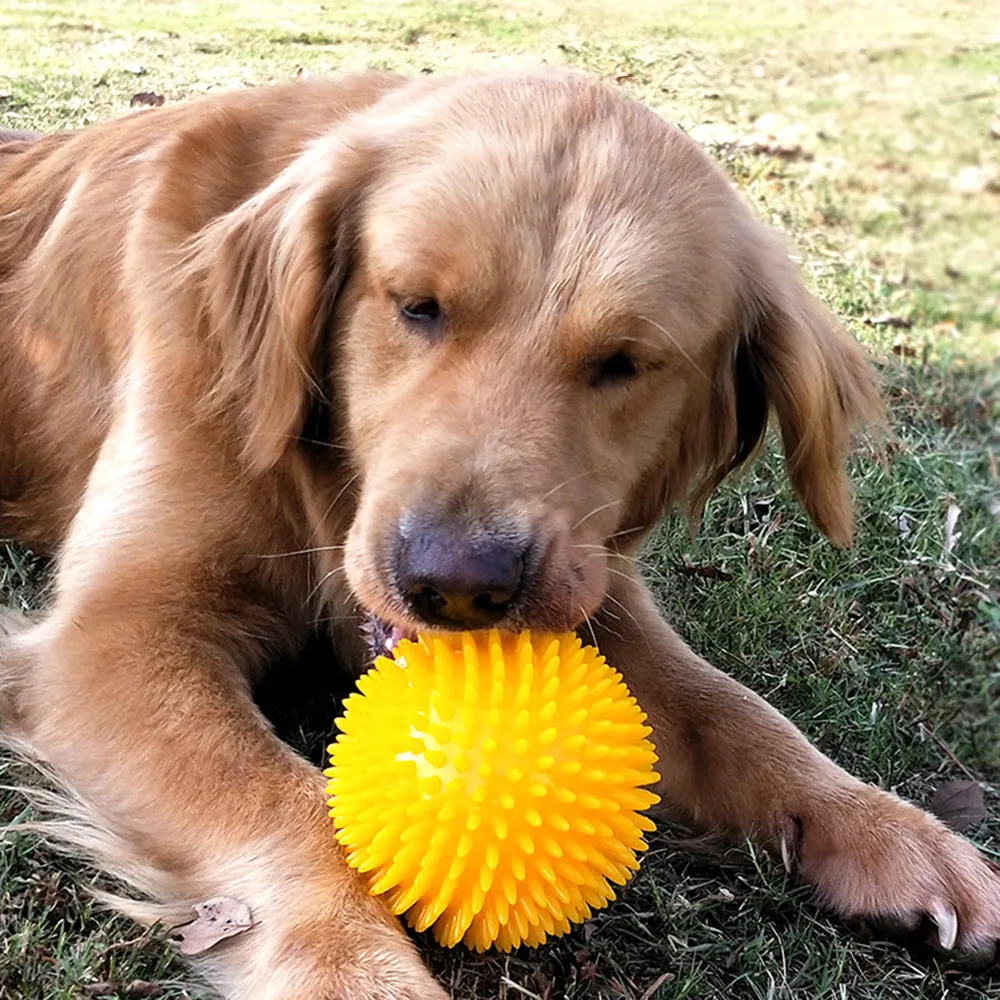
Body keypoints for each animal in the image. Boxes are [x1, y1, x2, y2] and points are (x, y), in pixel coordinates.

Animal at [0, 72, 996, 1000]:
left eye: (624, 362)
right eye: (416, 305)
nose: (456, 584)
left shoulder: (590, 587)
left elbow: (731, 712)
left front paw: (885, 826)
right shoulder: (118, 635)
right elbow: (282, 801)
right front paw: (357, 968)